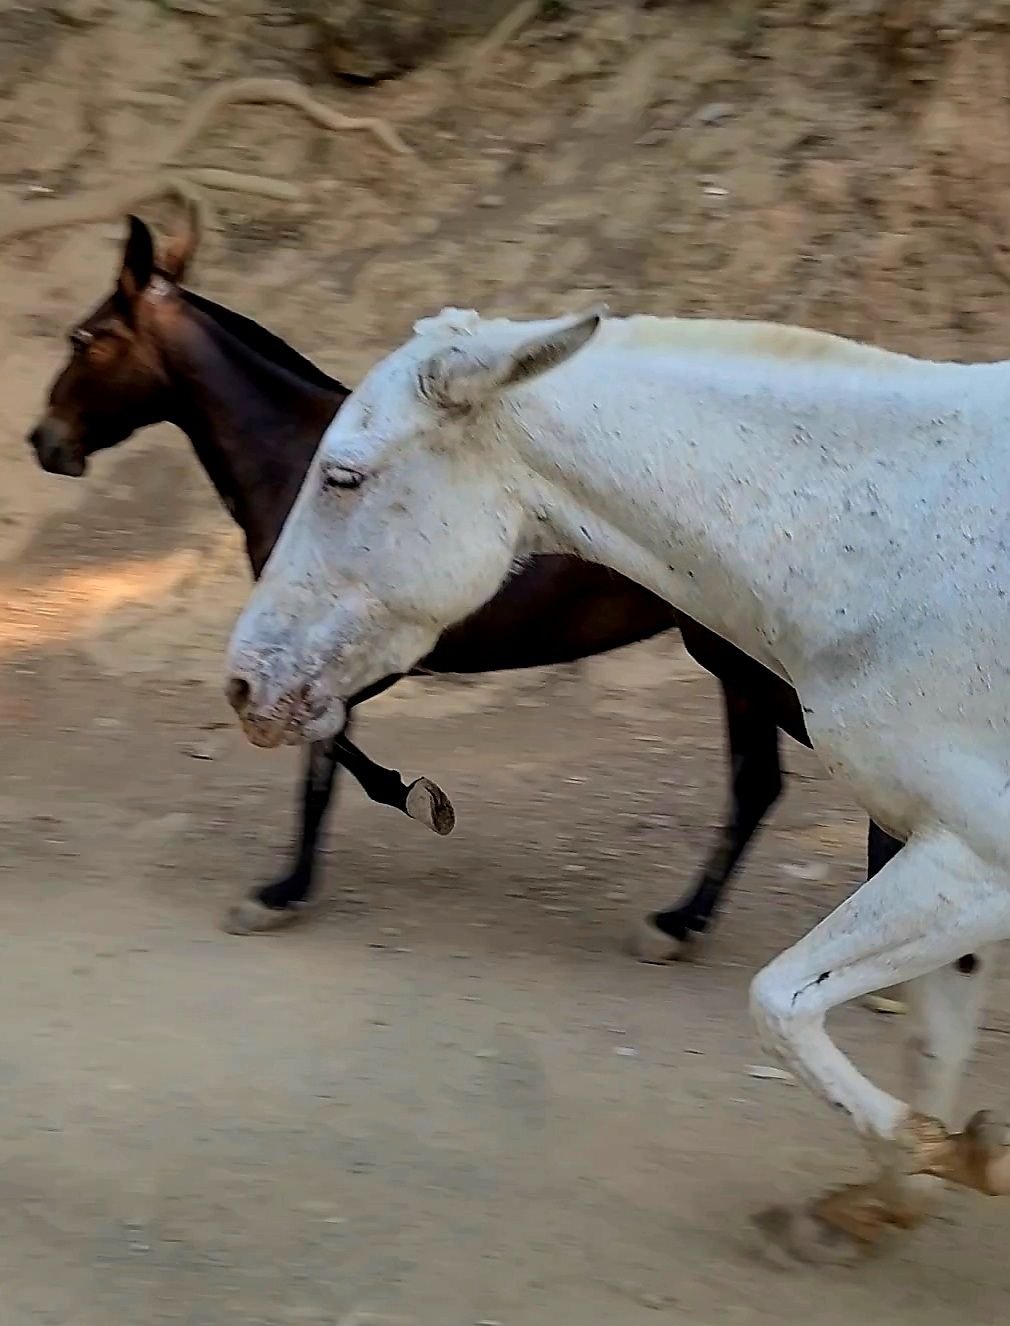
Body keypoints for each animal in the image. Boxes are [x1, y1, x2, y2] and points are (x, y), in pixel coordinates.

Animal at [28, 212, 902, 954]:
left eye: (85, 337)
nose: (45, 441)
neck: (297, 462)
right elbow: (326, 753)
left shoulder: (348, 651)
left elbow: (326, 759)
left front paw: (299, 879)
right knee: (770, 787)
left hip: (742, 666)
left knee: (785, 786)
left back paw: (699, 924)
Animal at [224, 303, 1007, 1265]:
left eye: (342, 476)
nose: (245, 685)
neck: (901, 544)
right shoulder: (948, 854)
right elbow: (928, 1053)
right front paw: (885, 1197)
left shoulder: (974, 859)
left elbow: (780, 1003)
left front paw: (956, 1160)